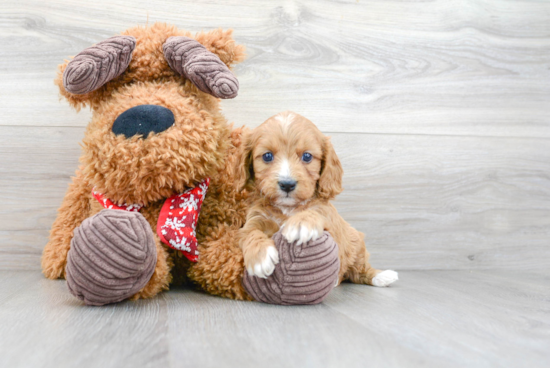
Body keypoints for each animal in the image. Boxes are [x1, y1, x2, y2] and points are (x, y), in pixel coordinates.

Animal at [235, 112, 398, 288]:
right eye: (267, 156)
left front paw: (301, 224)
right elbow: (250, 232)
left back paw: (382, 276)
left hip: (356, 244)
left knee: (360, 270)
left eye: (307, 156)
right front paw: (260, 256)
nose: (287, 184)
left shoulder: (330, 224)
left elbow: (316, 213)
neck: (288, 208)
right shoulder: (255, 218)